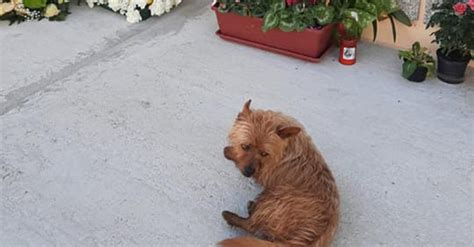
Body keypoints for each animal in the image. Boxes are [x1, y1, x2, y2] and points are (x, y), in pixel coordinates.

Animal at [220, 100, 338, 247]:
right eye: (245, 146)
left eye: (264, 153)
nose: (247, 173)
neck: (285, 147)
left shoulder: (263, 174)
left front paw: (229, 151)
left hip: (275, 195)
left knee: (252, 226)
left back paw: (232, 216)